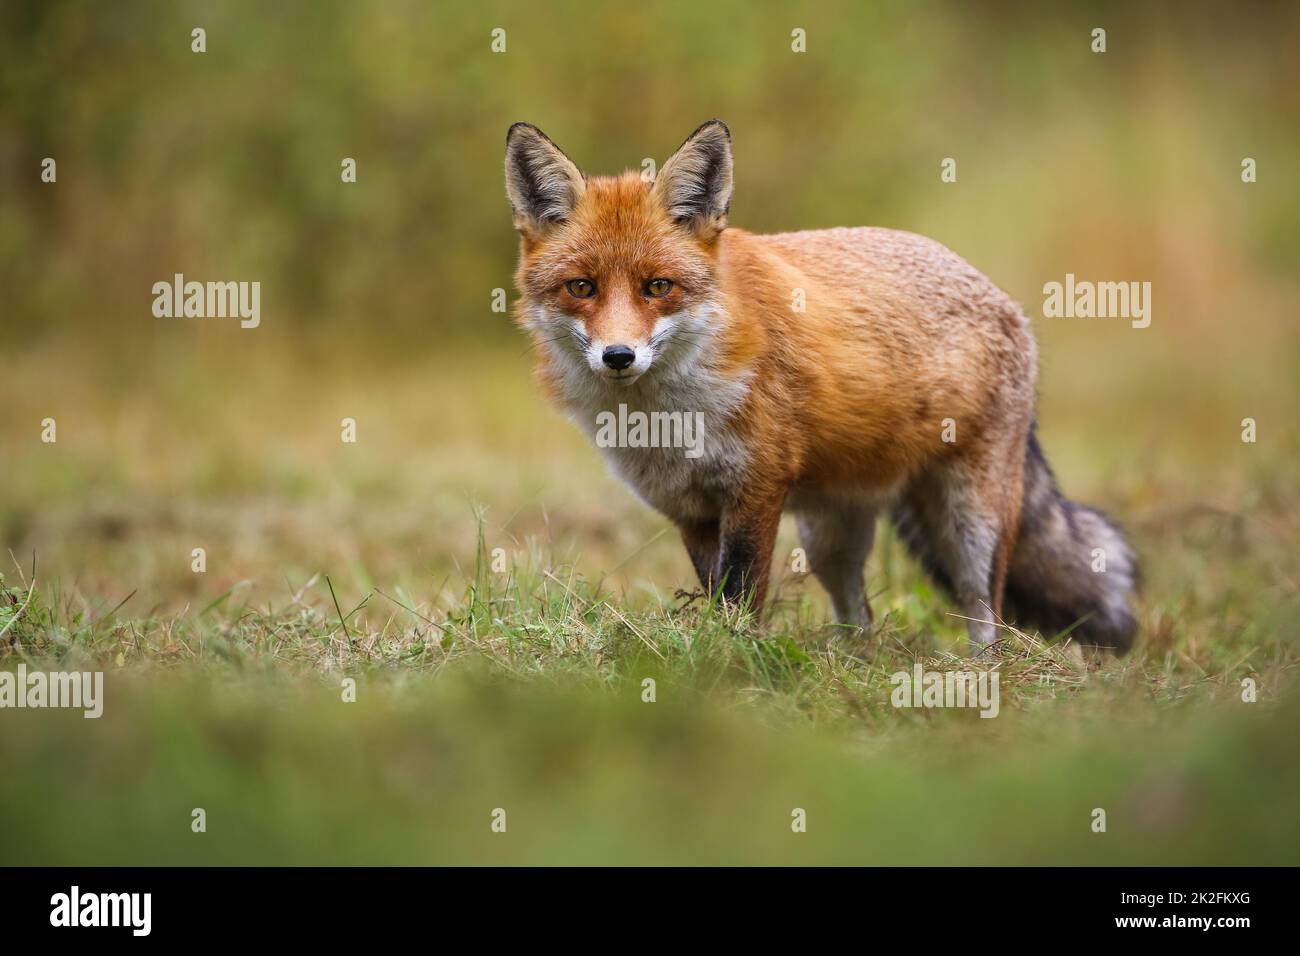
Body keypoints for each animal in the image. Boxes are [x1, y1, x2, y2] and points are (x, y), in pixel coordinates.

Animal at [501, 119, 1133, 655]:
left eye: (658, 286)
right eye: (581, 287)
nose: (619, 356)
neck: (668, 417)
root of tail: (1001, 295)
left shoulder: (757, 487)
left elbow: (741, 593)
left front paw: (735, 658)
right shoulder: (690, 508)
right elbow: (715, 591)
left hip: (971, 520)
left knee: (986, 608)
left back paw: (982, 672)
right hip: (833, 533)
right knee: (860, 614)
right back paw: (855, 663)